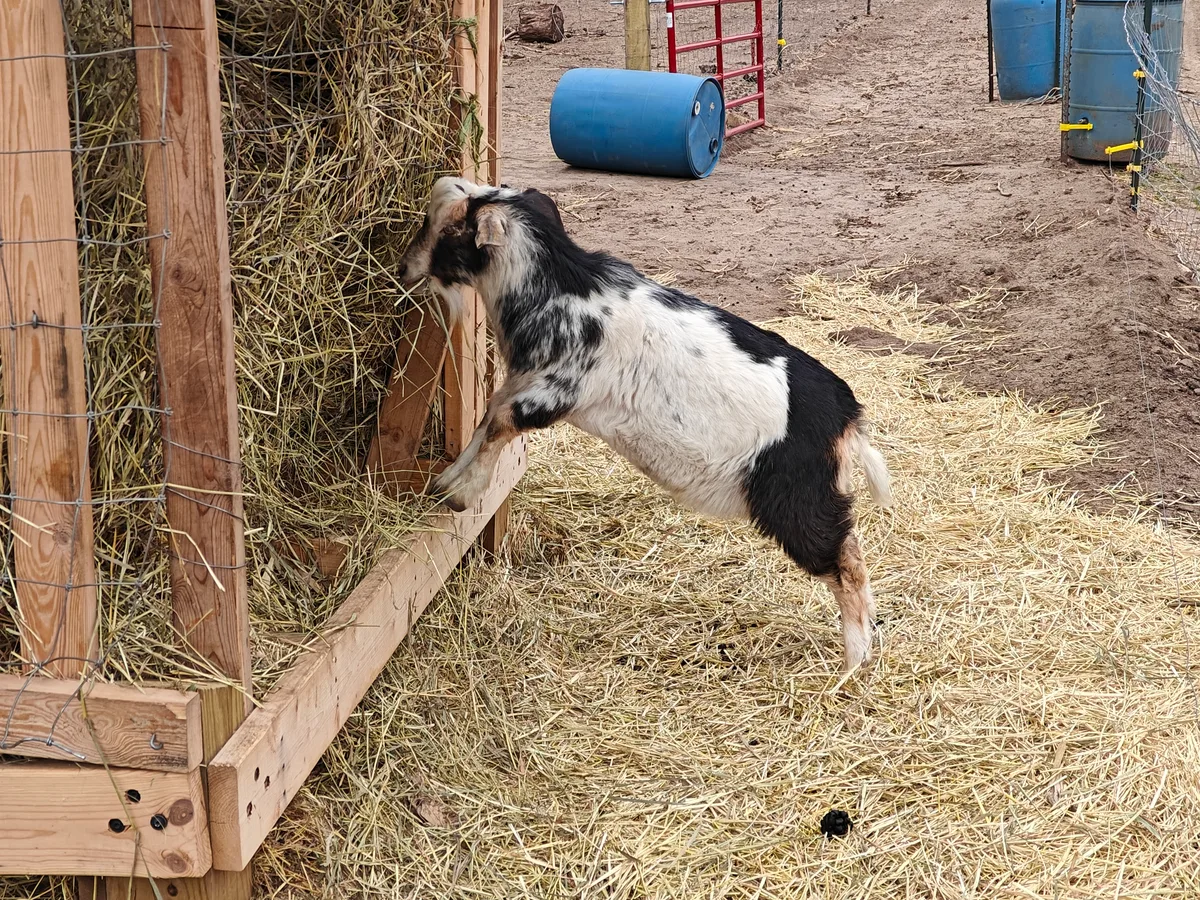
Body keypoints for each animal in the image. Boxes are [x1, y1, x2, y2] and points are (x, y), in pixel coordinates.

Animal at [399, 177, 893, 671]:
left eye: (444, 229)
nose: (404, 268)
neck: (562, 289)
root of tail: (848, 418)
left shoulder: (550, 393)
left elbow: (499, 423)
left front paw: (460, 494)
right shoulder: (520, 382)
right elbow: (487, 419)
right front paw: (446, 481)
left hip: (798, 503)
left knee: (847, 563)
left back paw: (853, 662)